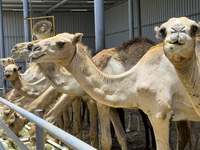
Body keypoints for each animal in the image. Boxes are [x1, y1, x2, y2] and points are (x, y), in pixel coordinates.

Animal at [28, 31, 200, 150]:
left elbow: (104, 139)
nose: (34, 48)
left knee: (191, 136)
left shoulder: (159, 112)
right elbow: (120, 136)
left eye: (61, 43)